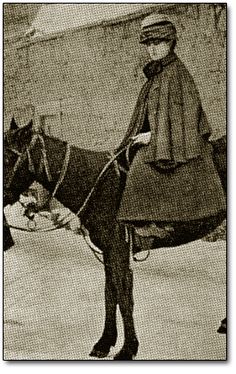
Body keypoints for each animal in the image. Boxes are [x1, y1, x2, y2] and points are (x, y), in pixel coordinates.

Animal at [3, 120, 225, 360]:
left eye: (7, 157)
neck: (97, 184)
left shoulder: (118, 250)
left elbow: (123, 297)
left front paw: (128, 348)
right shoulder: (109, 252)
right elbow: (110, 295)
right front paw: (105, 342)